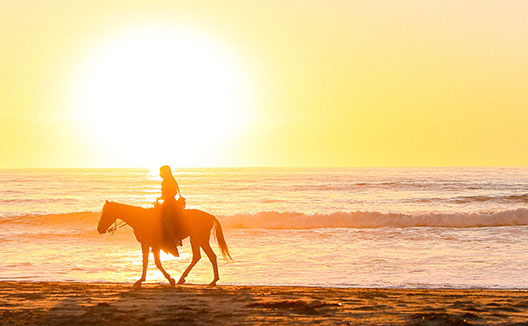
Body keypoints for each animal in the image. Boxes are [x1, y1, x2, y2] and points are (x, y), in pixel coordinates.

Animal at [97, 200, 231, 286]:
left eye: (106, 213)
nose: (99, 229)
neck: (140, 218)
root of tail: (211, 216)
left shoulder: (154, 245)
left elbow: (157, 263)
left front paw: (170, 279)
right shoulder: (145, 244)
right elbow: (146, 262)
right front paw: (141, 280)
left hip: (197, 238)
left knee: (200, 256)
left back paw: (185, 279)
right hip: (200, 239)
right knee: (209, 256)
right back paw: (211, 280)